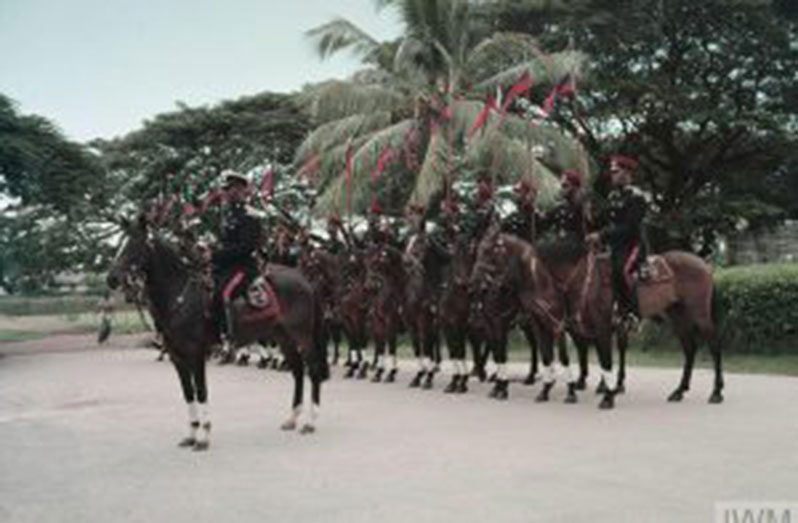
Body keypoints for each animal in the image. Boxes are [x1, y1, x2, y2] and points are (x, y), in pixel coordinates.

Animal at [108, 216, 330, 450]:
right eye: (120, 244)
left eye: (133, 244)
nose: (111, 278)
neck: (181, 297)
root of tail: (304, 280)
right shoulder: (178, 358)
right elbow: (188, 393)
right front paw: (191, 434)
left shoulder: (196, 354)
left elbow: (201, 391)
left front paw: (204, 437)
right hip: (283, 337)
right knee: (298, 372)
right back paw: (292, 418)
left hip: (303, 337)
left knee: (313, 371)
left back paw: (310, 422)